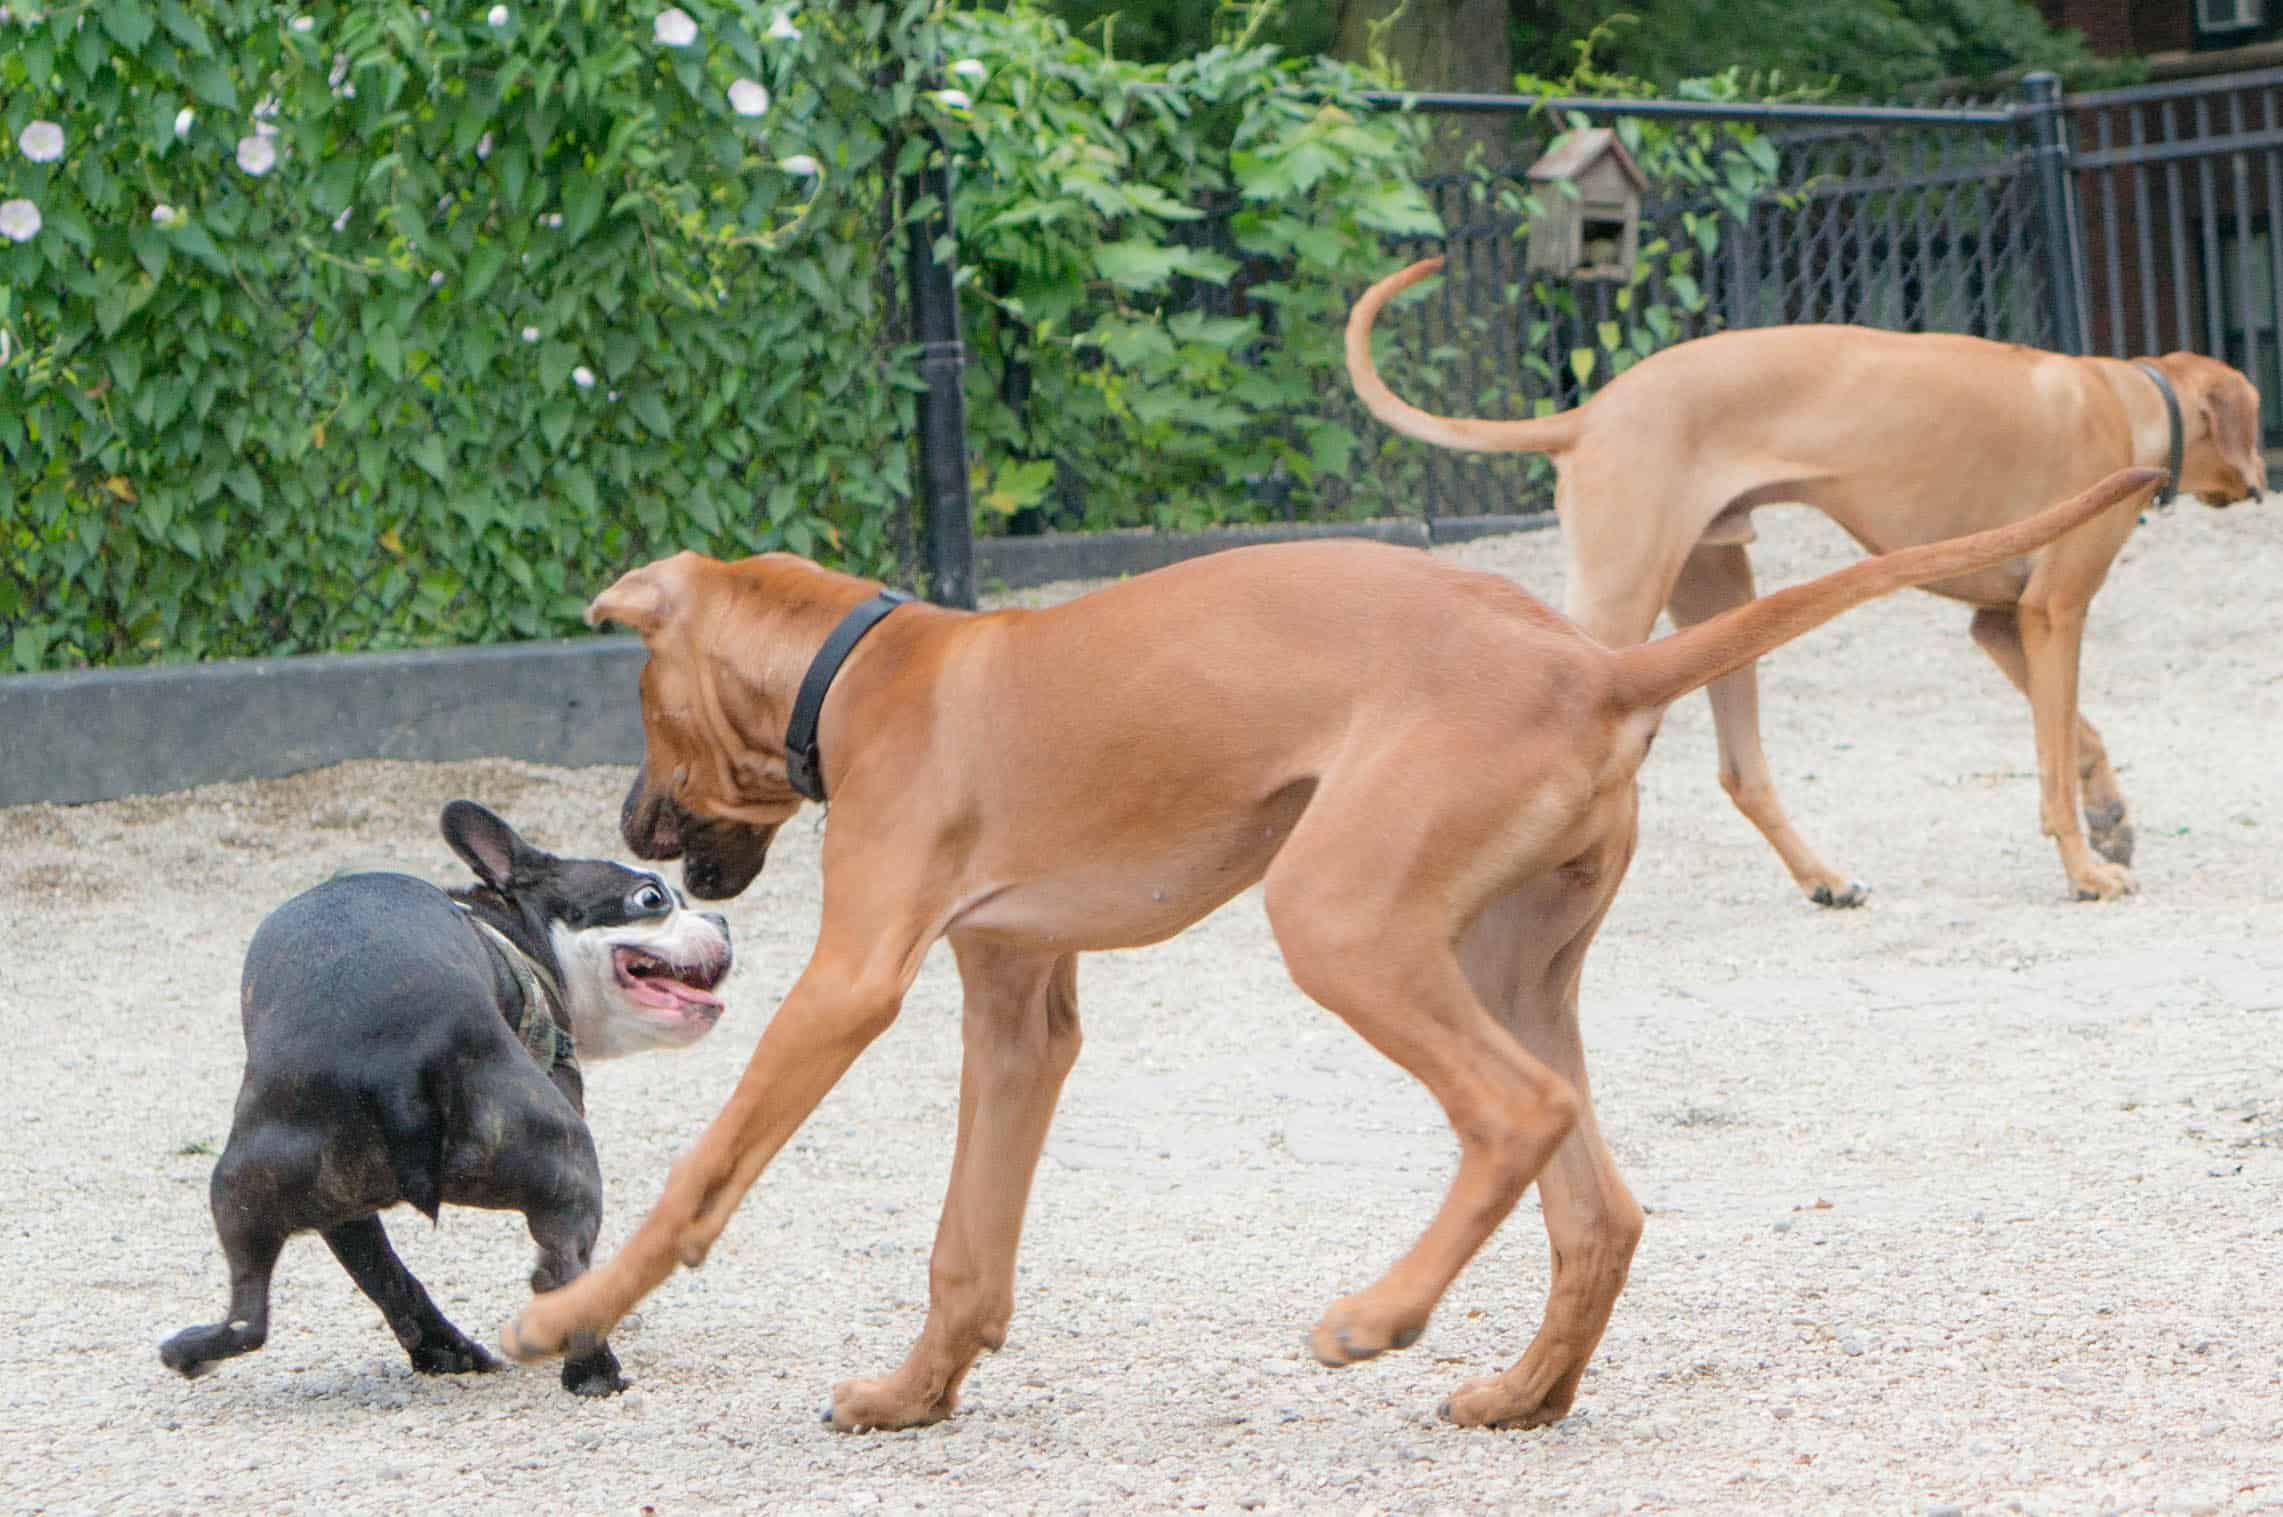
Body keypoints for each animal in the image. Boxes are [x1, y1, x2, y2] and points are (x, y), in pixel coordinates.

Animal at [499, 468, 2155, 1425]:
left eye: (637, 707)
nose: (631, 824)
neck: (866, 661)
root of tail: (1595, 664)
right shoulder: (1020, 1013)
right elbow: (966, 1244)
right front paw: (917, 1390)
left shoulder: (845, 990)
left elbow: (698, 1181)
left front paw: (567, 1315)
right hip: (1499, 967)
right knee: (1597, 1206)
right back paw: (1518, 1393)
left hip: (1341, 925)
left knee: (1517, 1118)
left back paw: (1380, 1315)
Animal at [1342, 255, 2255, 904]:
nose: (2259, 487)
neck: (2132, 396)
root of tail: (1590, 413)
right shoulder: (2051, 612)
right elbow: (2055, 758)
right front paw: (2084, 870)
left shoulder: (2001, 624)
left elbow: (2080, 735)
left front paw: (2111, 820)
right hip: (1624, 599)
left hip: (1721, 597)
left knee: (1740, 770)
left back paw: (1824, 877)